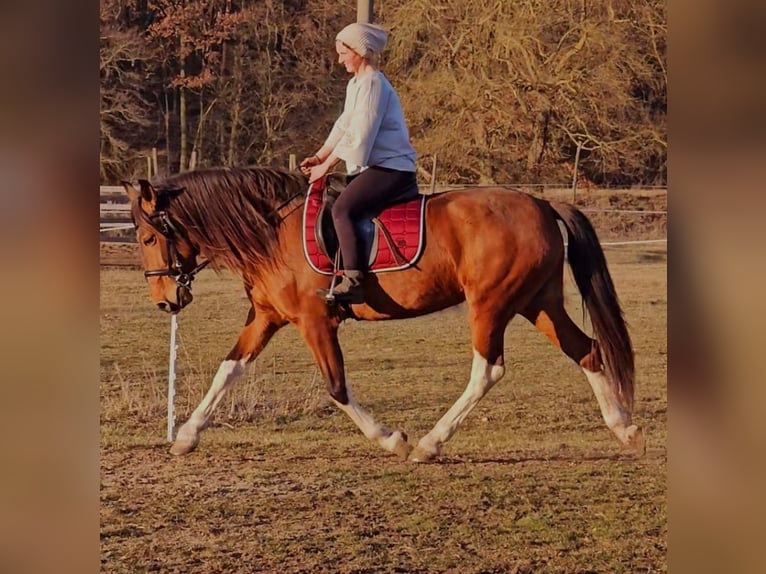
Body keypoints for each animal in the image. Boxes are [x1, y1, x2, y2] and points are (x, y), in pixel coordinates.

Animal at [123, 166, 644, 464]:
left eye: (147, 238)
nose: (165, 302)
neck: (271, 232)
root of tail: (539, 201)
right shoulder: (266, 318)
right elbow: (227, 371)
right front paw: (186, 436)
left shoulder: (316, 321)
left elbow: (336, 387)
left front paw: (392, 439)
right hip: (538, 302)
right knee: (587, 350)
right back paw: (626, 429)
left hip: (492, 305)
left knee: (488, 369)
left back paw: (431, 444)